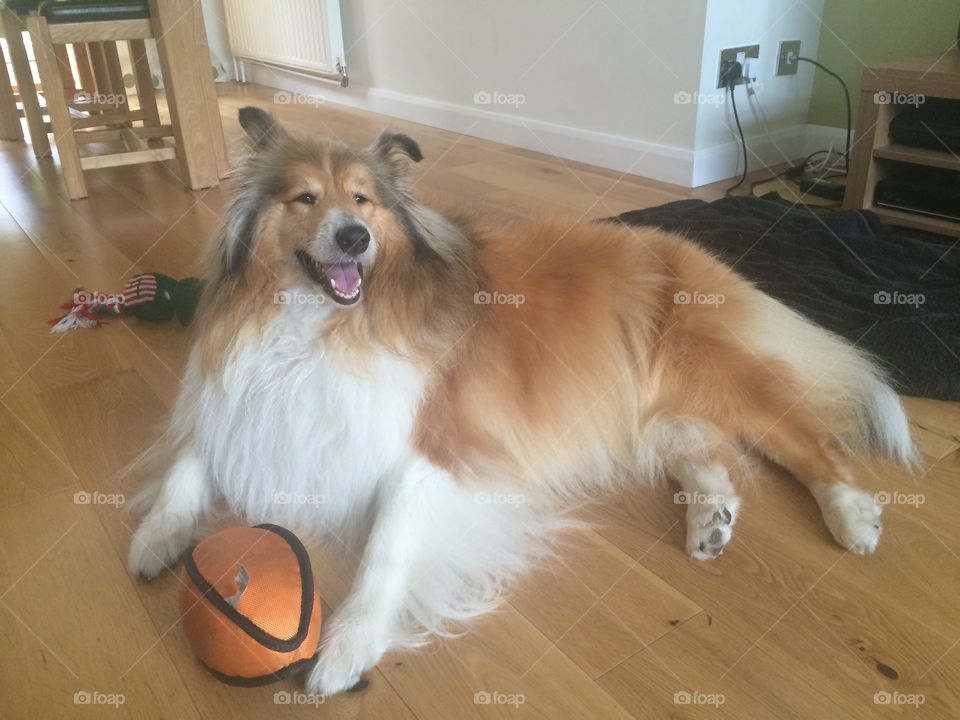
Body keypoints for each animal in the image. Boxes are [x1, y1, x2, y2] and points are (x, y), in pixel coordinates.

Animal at [127, 105, 916, 692]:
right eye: (304, 198)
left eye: (362, 200)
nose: (353, 239)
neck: (321, 324)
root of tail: (693, 251)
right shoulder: (239, 402)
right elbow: (189, 465)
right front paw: (157, 536)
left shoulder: (438, 452)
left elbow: (387, 544)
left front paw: (349, 643)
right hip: (645, 411)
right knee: (704, 451)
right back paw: (711, 520)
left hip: (716, 374)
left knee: (812, 439)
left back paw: (852, 515)